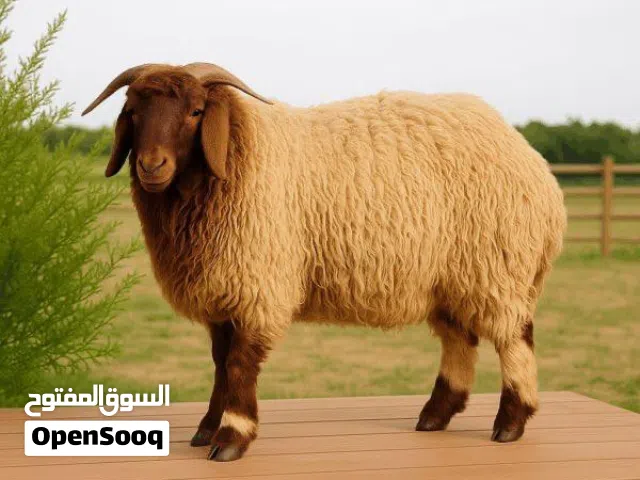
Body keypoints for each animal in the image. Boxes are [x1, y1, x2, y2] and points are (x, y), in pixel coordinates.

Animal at [83, 62, 567, 462]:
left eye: (197, 111)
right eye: (133, 111)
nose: (152, 166)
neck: (238, 153)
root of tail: (535, 164)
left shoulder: (259, 285)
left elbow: (239, 364)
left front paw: (231, 439)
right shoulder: (225, 290)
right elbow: (221, 363)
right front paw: (206, 429)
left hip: (496, 265)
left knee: (515, 337)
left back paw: (510, 423)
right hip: (450, 276)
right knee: (459, 340)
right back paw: (435, 415)